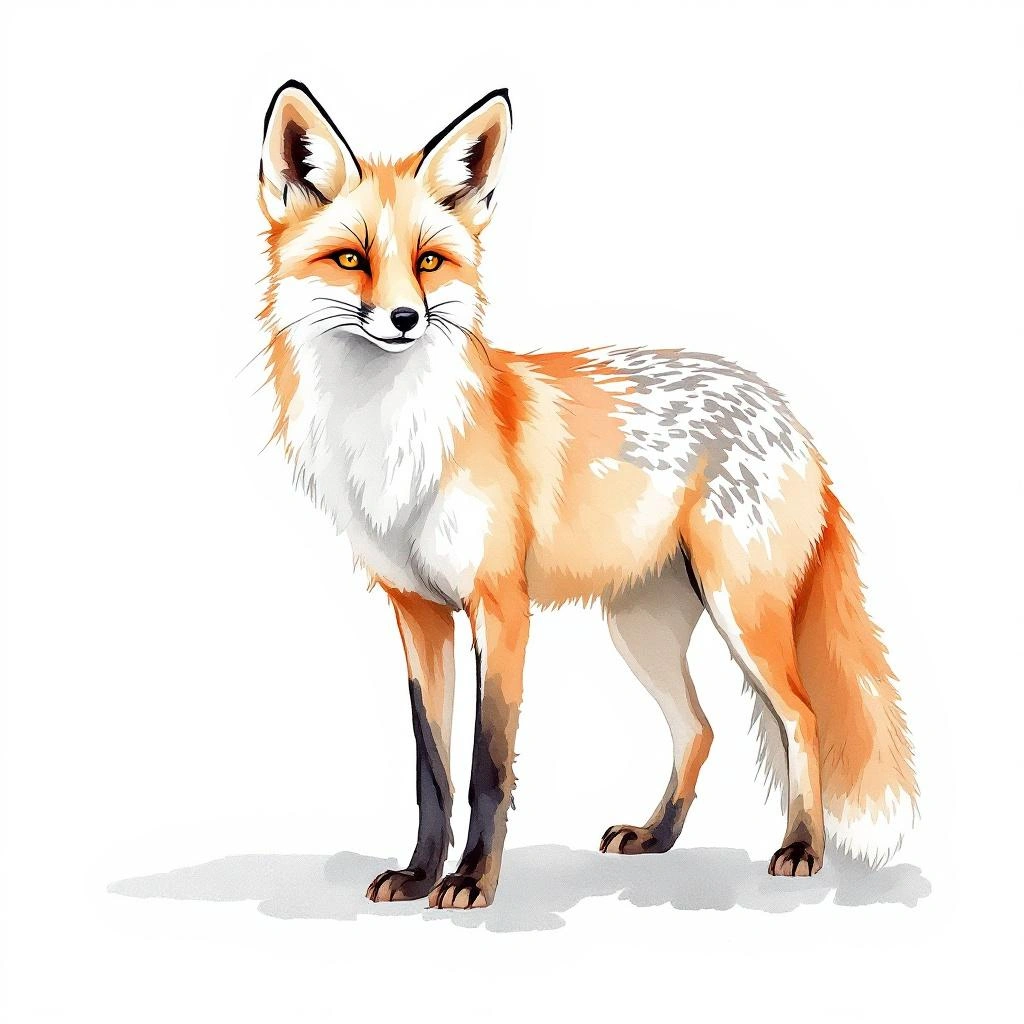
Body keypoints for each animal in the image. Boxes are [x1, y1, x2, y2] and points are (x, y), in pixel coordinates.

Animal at [256, 80, 917, 910]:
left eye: (429, 261)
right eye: (351, 259)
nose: (406, 319)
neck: (395, 436)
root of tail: (785, 413)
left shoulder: (500, 608)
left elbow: (488, 765)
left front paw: (471, 883)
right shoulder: (418, 613)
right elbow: (431, 769)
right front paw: (417, 874)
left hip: (743, 611)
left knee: (801, 719)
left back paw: (801, 848)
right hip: (641, 627)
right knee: (699, 727)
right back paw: (657, 836)